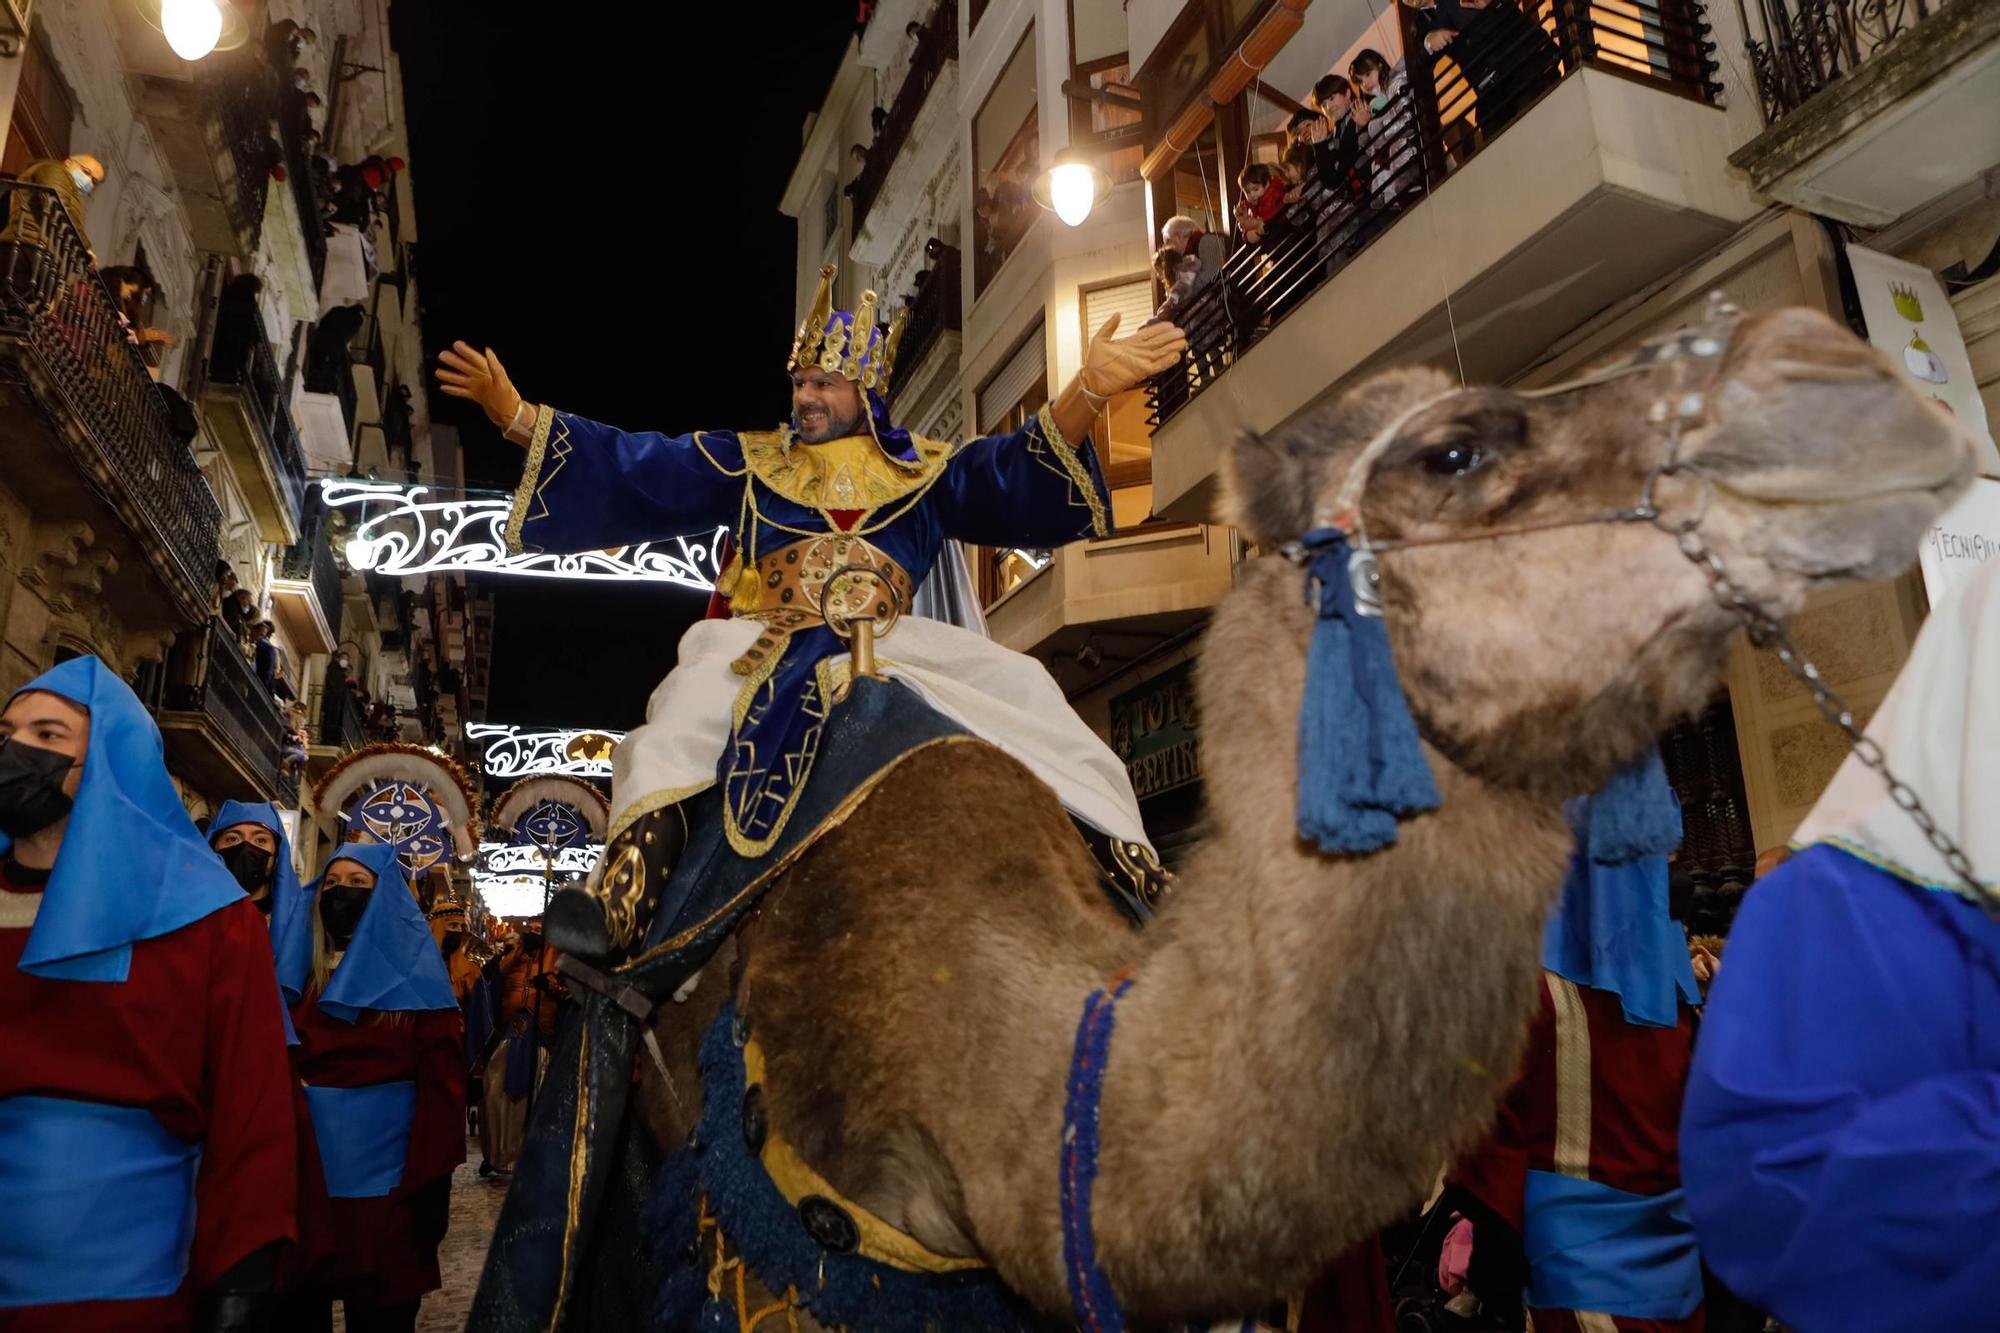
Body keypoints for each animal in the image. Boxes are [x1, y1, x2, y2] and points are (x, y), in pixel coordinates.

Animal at [504, 306, 1984, 1320]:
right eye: (1452, 449)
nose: (1837, 379)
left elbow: (1003, 472)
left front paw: (1106, 377)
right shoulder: (761, 1247)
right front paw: (511, 404)